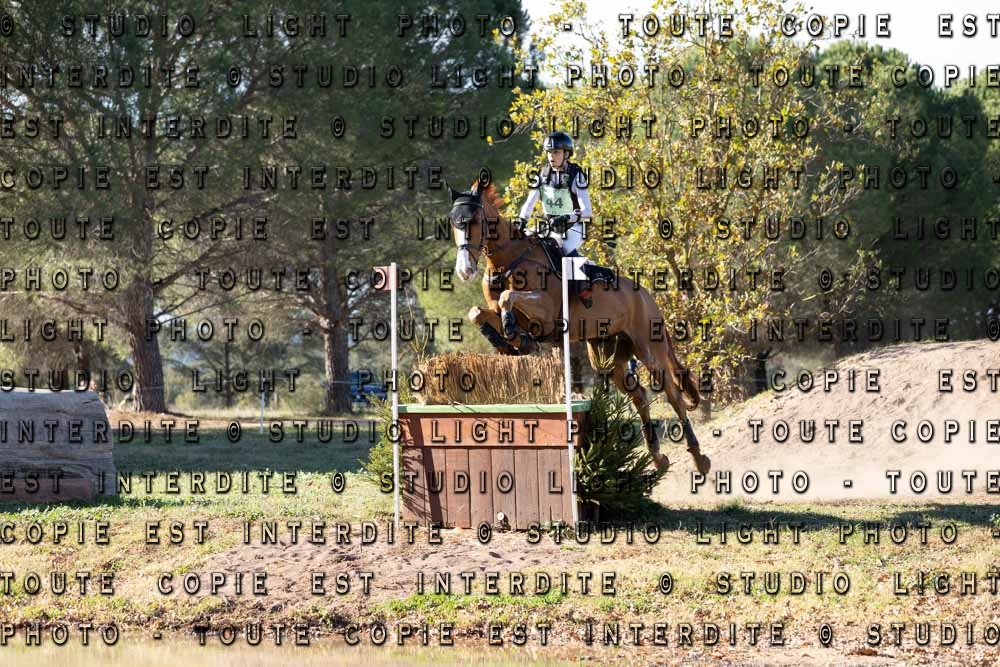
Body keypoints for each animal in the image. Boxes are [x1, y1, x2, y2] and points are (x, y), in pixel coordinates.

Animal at [447, 179, 711, 476]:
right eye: (453, 222)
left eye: (473, 220)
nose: (465, 271)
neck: (509, 261)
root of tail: (646, 295)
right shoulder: (505, 312)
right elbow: (477, 313)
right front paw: (509, 343)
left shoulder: (546, 314)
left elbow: (507, 298)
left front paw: (516, 337)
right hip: (607, 357)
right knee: (640, 396)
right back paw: (658, 458)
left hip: (648, 349)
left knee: (673, 395)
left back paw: (699, 459)